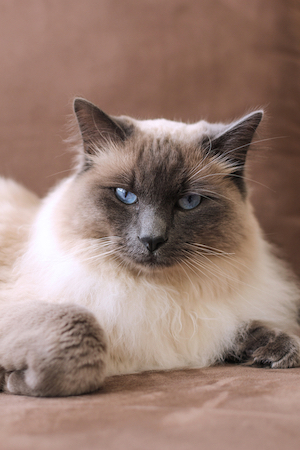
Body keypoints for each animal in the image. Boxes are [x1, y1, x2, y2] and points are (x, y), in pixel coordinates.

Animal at [0, 99, 300, 398]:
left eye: (189, 201)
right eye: (125, 195)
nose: (152, 239)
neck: (157, 295)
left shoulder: (205, 325)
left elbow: (247, 327)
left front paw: (280, 352)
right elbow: (83, 338)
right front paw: (14, 380)